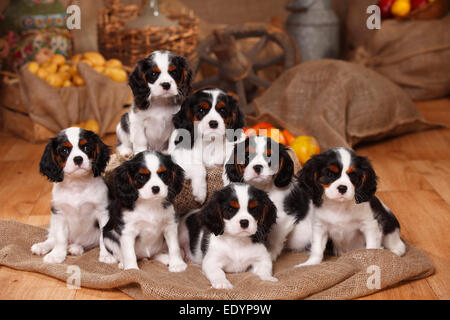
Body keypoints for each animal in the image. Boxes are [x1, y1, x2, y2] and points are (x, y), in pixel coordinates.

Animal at [30, 126, 113, 264]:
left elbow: (103, 237)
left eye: (86, 147)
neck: (77, 185)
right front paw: (56, 255)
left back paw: (75, 248)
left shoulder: (103, 212)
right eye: (64, 150)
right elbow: (60, 238)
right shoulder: (59, 213)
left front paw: (107, 255)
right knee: (53, 237)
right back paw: (42, 246)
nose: (78, 158)